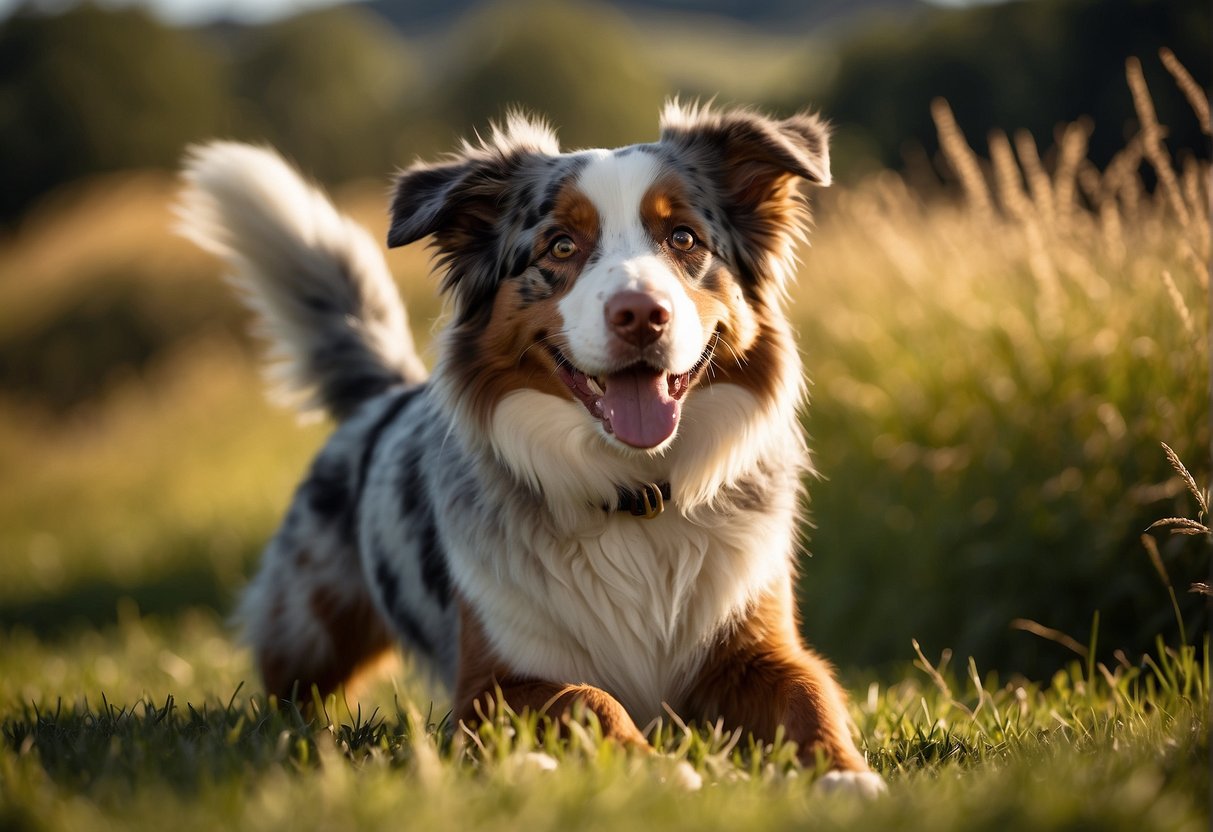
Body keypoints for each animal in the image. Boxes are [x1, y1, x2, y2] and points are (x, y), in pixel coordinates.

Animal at [177, 104, 883, 795]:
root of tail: (387, 395)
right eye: (561, 245)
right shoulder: (489, 684)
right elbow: (587, 698)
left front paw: (844, 775)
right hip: (309, 628)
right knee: (290, 698)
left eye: (684, 238)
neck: (635, 495)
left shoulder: (756, 646)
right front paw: (657, 770)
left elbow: (809, 692)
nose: (641, 314)